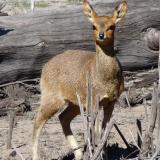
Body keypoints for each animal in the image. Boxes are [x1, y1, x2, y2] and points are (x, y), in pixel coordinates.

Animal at [32, 0, 127, 159]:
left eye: (112, 26)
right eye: (93, 26)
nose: (101, 35)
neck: (104, 77)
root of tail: (44, 68)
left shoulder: (111, 101)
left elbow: (104, 131)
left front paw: (103, 154)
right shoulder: (94, 100)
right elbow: (96, 131)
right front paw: (97, 154)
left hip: (75, 102)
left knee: (63, 117)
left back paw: (78, 154)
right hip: (51, 98)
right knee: (37, 121)